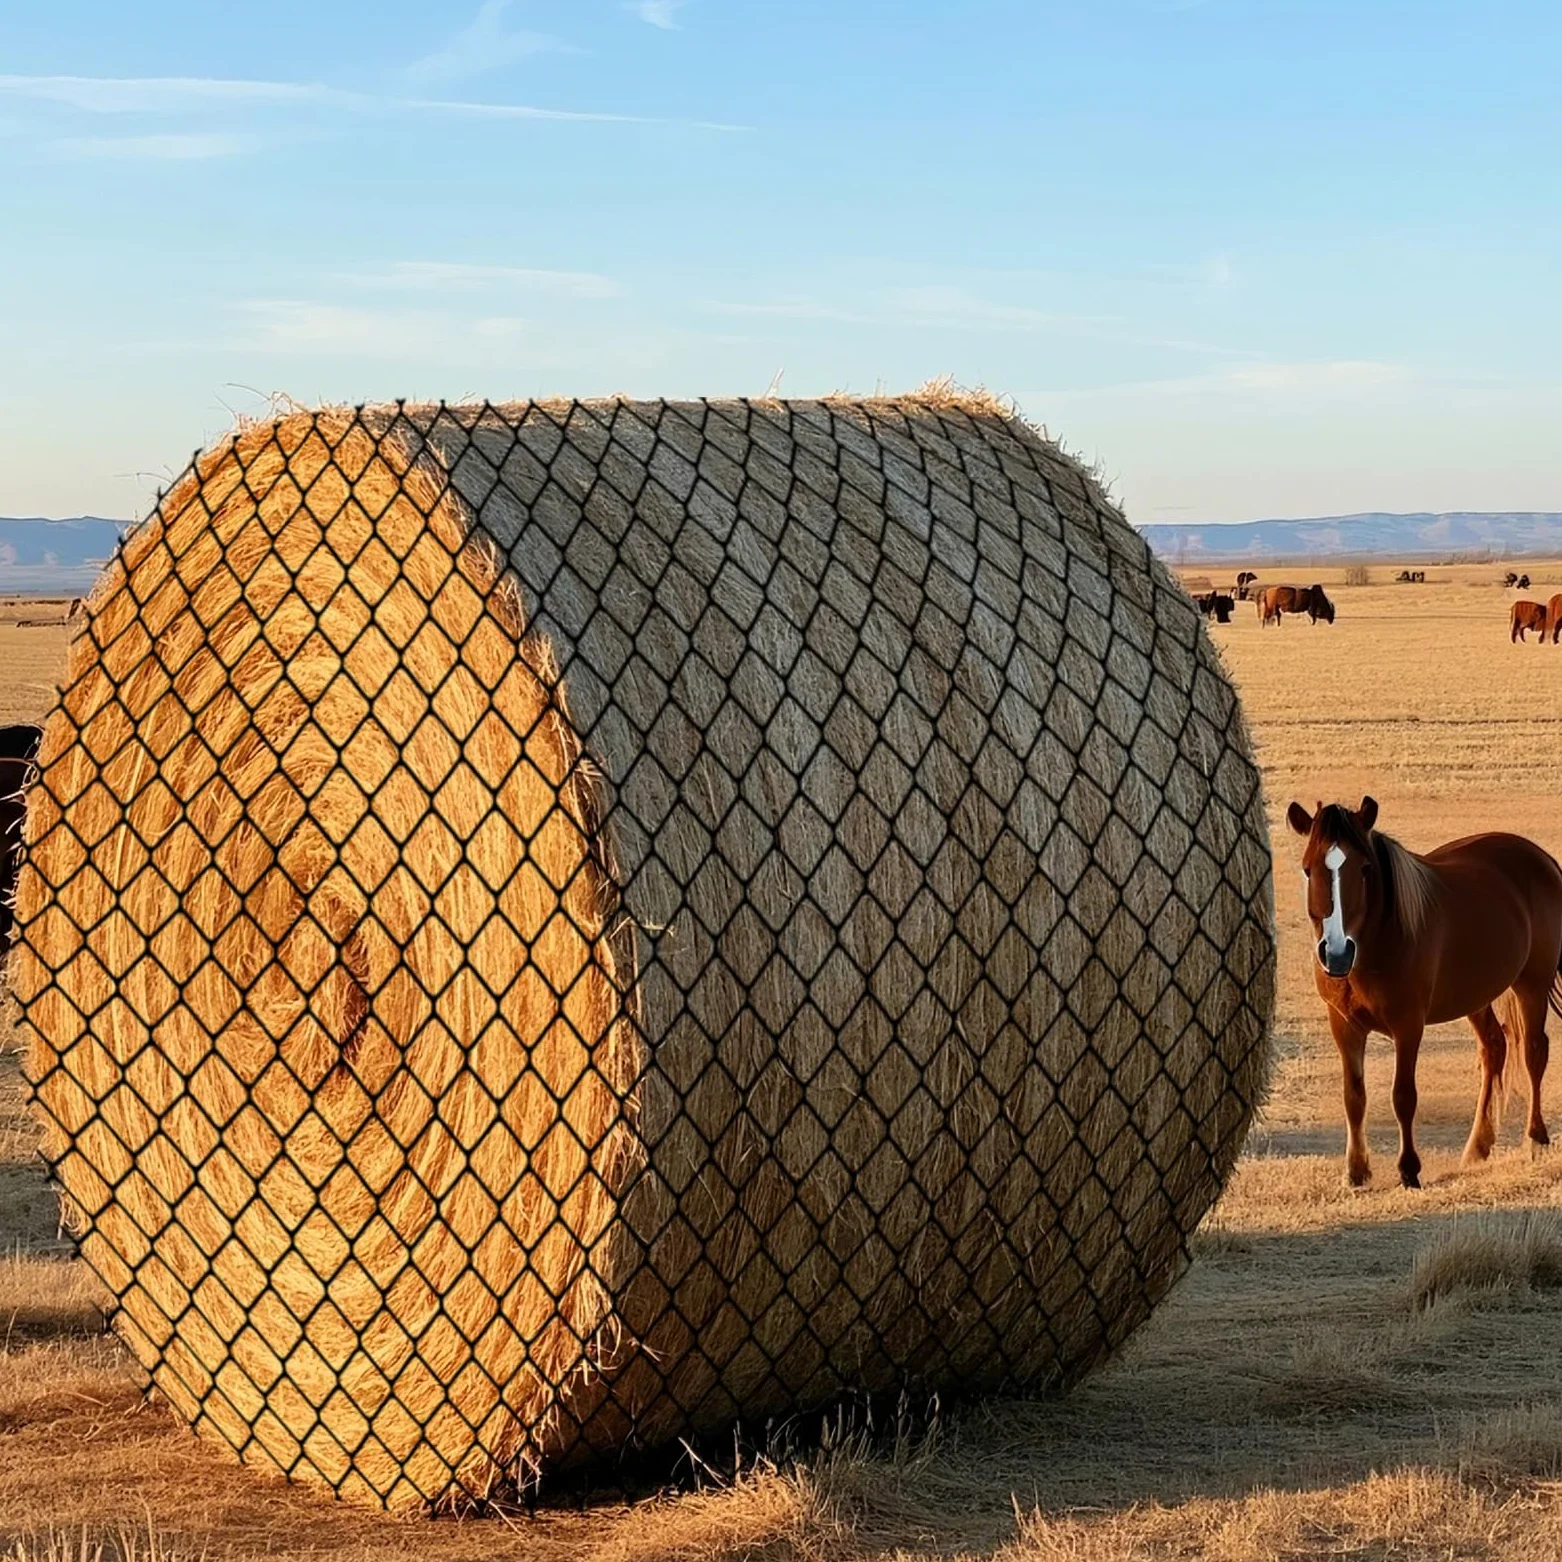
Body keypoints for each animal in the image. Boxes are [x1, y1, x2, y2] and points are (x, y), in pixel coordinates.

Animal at [1288, 797, 1562, 1188]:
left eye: (1365, 868)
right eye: (1308, 870)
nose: (1337, 953)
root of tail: (1541, 858)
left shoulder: (1408, 1025)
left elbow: (1403, 1096)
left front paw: (1409, 1169)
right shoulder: (1344, 1025)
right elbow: (1354, 1095)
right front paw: (1356, 1170)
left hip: (1532, 985)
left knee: (1534, 1053)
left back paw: (1536, 1139)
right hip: (1475, 995)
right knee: (1494, 1048)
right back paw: (1477, 1148)